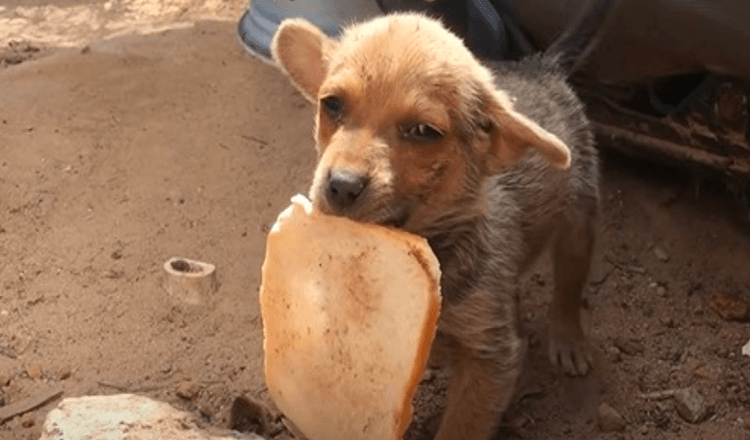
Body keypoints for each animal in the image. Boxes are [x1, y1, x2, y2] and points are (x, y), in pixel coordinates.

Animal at [274, 7, 604, 440]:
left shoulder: (490, 360)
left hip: (579, 217)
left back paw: (568, 337)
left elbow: (460, 426)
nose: (341, 185)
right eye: (332, 105)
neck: (435, 243)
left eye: (423, 132)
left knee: (570, 281)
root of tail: (540, 65)